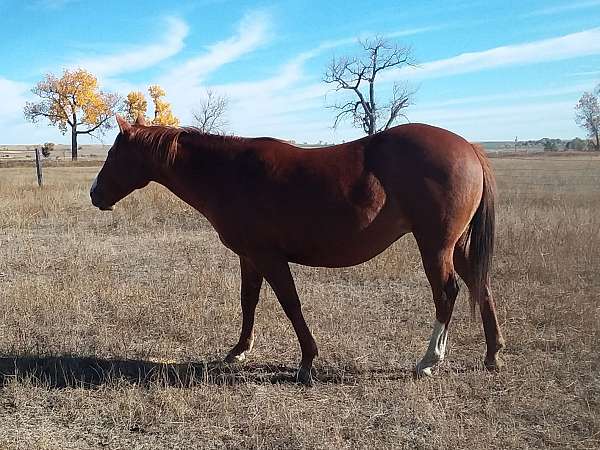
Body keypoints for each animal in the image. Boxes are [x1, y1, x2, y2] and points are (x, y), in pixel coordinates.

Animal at [91, 114, 506, 384]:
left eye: (113, 154)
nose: (94, 193)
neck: (229, 173)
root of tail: (468, 147)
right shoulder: (249, 257)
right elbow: (248, 301)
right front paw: (239, 350)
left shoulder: (270, 258)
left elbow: (290, 304)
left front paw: (307, 362)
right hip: (458, 245)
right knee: (480, 285)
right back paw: (492, 354)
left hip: (435, 245)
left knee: (447, 292)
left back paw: (429, 360)